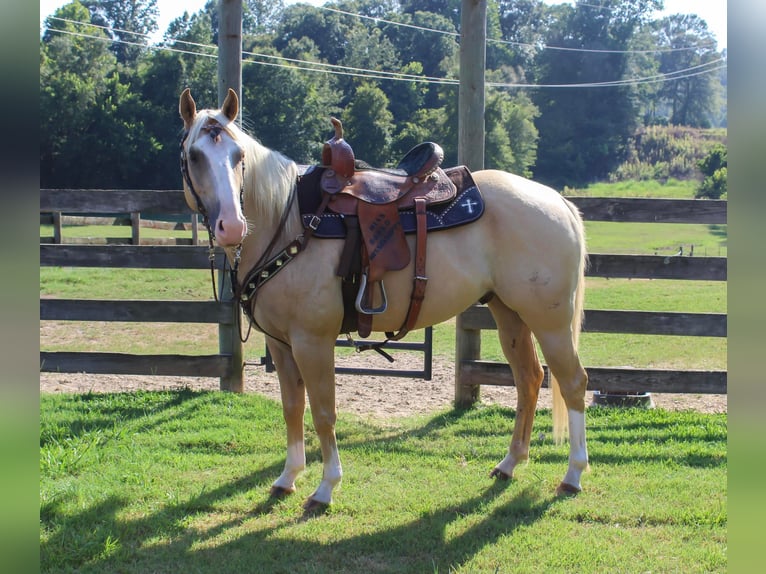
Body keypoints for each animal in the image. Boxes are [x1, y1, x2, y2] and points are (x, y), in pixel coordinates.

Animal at [177, 88, 592, 510]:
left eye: (238, 156)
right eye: (194, 156)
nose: (232, 226)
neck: (289, 221)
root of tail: (557, 201)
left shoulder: (313, 341)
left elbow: (323, 412)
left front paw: (325, 487)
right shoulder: (280, 343)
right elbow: (293, 407)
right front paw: (288, 477)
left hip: (550, 322)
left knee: (573, 382)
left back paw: (573, 475)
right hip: (509, 313)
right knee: (529, 379)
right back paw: (510, 463)